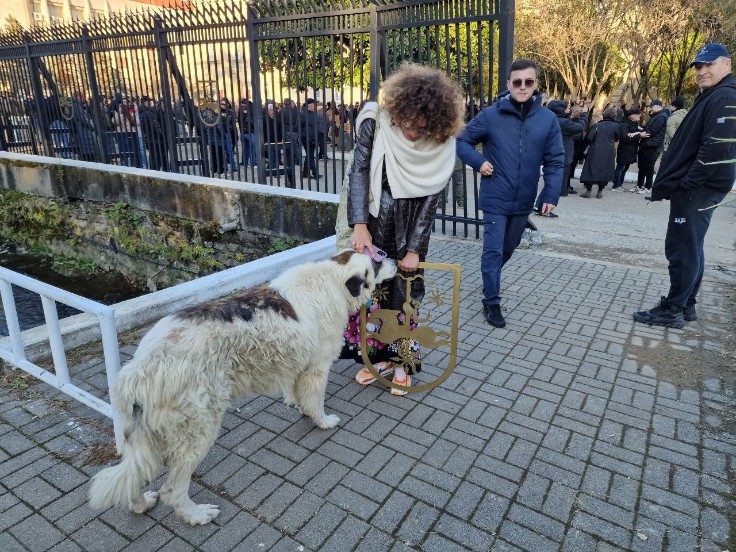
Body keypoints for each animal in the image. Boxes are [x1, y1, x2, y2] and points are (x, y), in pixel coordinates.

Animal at [88, 250, 394, 528]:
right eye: (377, 262)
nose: (393, 259)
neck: (332, 277)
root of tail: (141, 366)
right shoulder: (317, 368)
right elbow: (315, 400)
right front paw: (322, 421)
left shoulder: (296, 364)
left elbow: (296, 392)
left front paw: (297, 405)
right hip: (198, 430)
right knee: (173, 489)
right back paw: (197, 515)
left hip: (147, 436)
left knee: (135, 474)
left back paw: (141, 504)